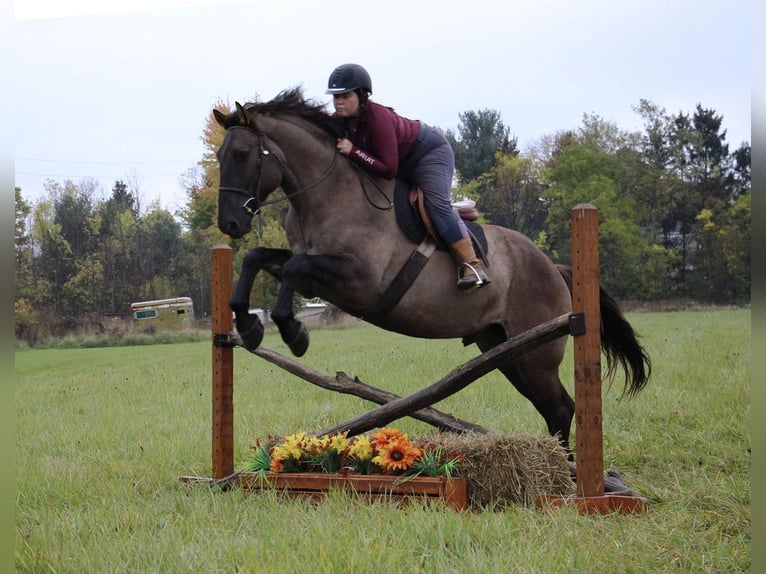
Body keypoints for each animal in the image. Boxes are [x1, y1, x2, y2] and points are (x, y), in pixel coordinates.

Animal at [213, 85, 652, 456]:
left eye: (242, 156)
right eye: (220, 158)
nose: (229, 224)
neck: (327, 194)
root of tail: (553, 265)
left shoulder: (358, 280)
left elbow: (294, 268)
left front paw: (293, 332)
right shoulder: (316, 273)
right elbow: (259, 259)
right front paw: (249, 326)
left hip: (537, 351)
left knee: (560, 407)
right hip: (504, 348)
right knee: (552, 406)